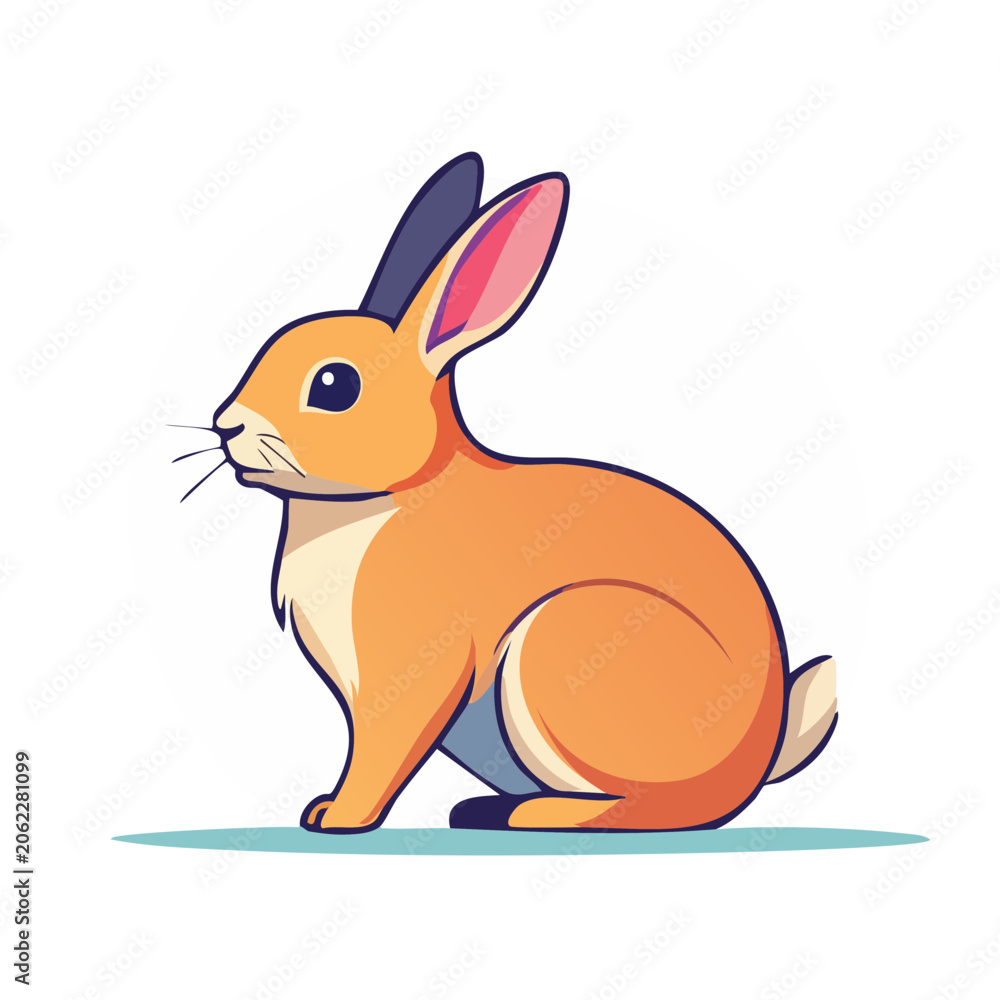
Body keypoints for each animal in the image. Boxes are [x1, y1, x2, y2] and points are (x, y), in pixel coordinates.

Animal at [208, 152, 837, 833]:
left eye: (334, 385)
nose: (225, 425)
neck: (384, 497)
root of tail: (755, 764)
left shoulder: (410, 677)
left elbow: (381, 752)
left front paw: (339, 819)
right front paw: (326, 809)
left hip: (560, 645)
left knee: (654, 807)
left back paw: (535, 815)